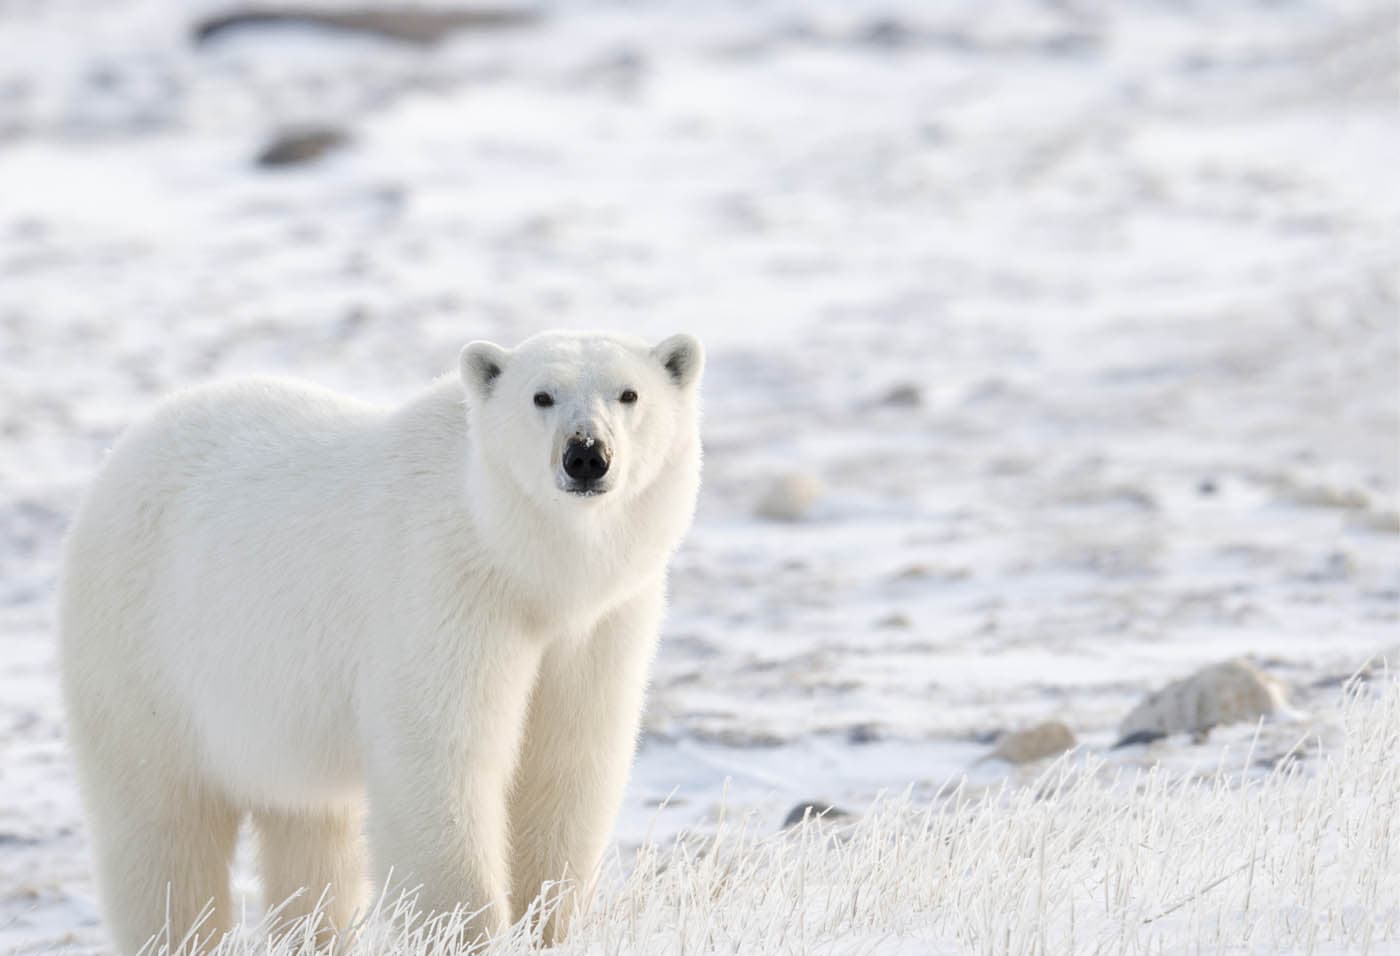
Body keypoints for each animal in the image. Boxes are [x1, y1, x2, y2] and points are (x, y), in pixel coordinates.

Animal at [60, 330, 705, 956]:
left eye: (629, 394)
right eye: (541, 396)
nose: (586, 455)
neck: (523, 566)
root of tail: (123, 451)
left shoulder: (599, 624)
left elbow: (567, 761)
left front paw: (548, 926)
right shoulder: (444, 591)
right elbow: (442, 759)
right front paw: (466, 933)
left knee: (310, 833)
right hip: (144, 657)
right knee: (163, 831)